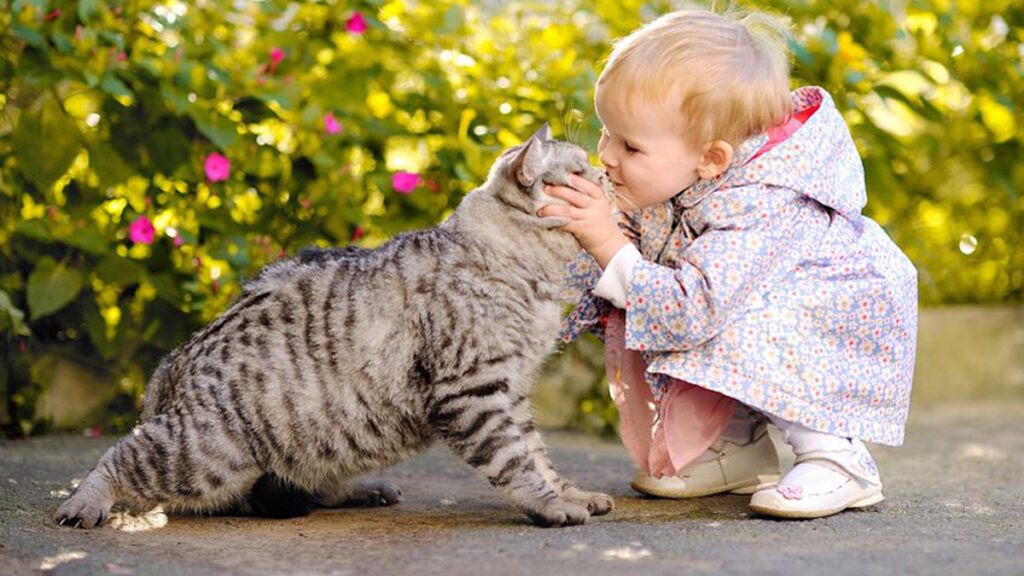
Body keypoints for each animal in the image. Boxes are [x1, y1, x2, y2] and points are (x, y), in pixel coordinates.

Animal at [56, 123, 610, 528]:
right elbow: (515, 460)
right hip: (204, 455)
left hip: (324, 441)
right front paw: (550, 504)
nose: (606, 175)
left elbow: (538, 454)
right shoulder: (475, 390)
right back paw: (84, 502)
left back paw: (364, 490)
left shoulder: (511, 390)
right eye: (580, 171)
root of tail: (173, 364)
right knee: (122, 455)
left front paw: (571, 492)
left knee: (312, 485)